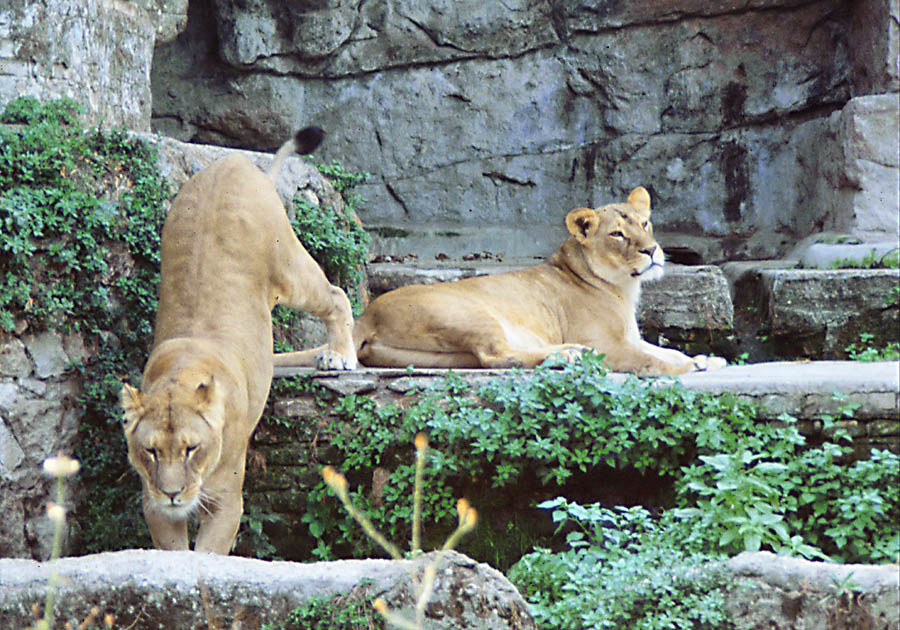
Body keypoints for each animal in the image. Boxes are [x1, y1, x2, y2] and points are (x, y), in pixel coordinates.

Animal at [120, 127, 357, 554]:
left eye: (191, 449)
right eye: (151, 451)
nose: (173, 494)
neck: (182, 373)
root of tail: (236, 161)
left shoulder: (229, 501)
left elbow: (207, 555)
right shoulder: (153, 504)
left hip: (290, 269)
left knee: (335, 294)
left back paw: (339, 356)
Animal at [274, 186, 725, 376]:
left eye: (645, 224)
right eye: (618, 234)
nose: (652, 251)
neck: (624, 287)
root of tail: (368, 312)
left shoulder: (629, 337)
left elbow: (666, 348)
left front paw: (707, 359)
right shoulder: (609, 344)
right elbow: (652, 359)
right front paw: (684, 369)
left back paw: (568, 355)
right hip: (473, 314)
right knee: (495, 356)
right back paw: (570, 356)